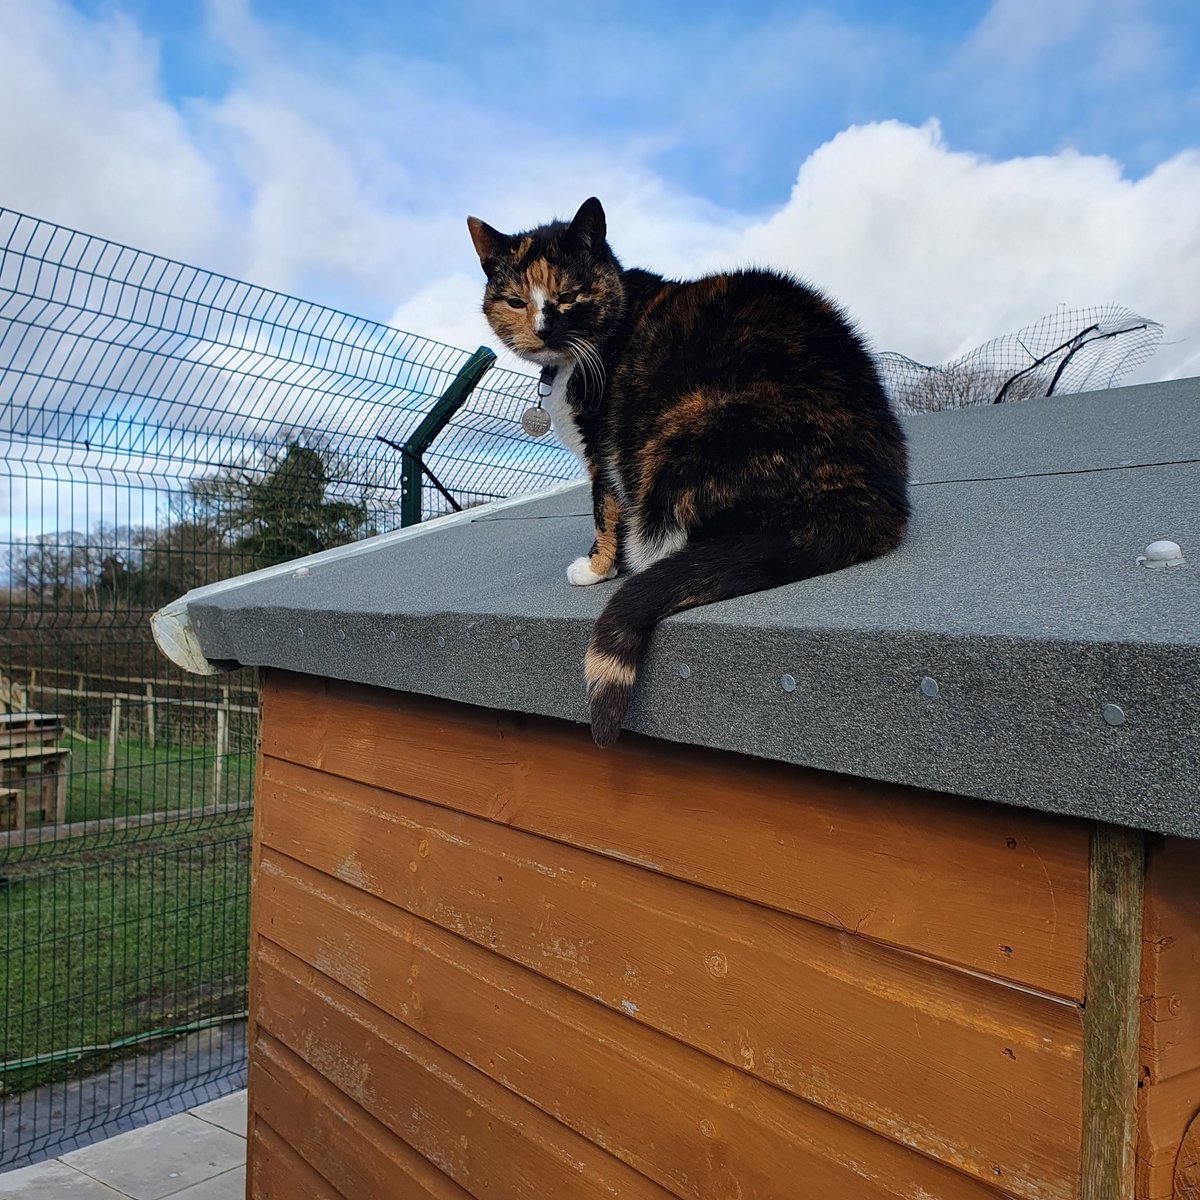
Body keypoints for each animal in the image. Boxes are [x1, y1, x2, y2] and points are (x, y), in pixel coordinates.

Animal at [468, 195, 907, 744]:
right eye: (515, 301)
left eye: (568, 295)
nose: (544, 330)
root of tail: (872, 495)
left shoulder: (602, 447)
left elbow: (604, 508)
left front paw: (596, 567)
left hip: (685, 430)